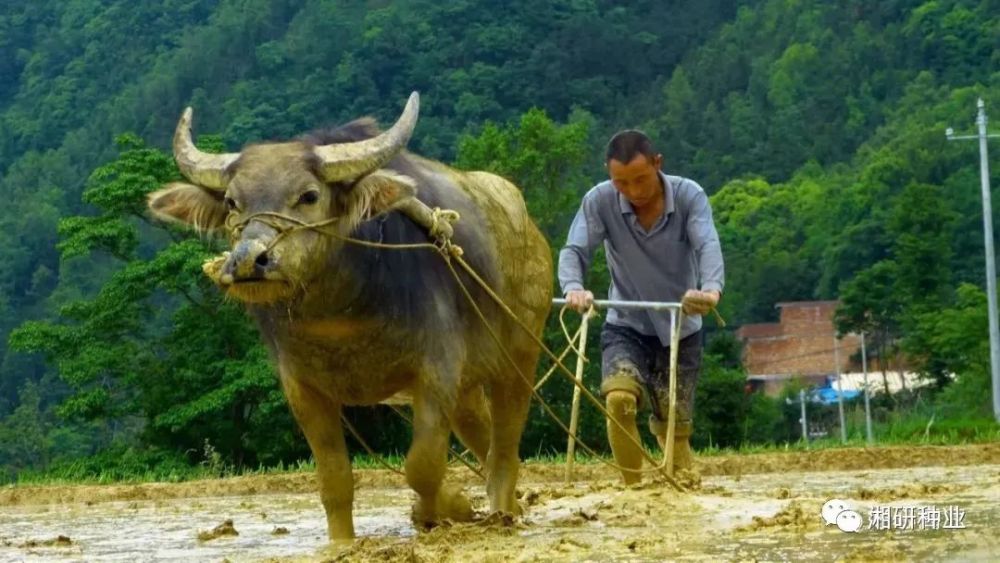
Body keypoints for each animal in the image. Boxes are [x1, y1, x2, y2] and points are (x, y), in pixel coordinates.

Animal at [146, 93, 556, 540]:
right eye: (232, 203)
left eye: (308, 196)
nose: (249, 261)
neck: (339, 314)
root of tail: (530, 231)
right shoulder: (304, 390)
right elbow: (334, 481)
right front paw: (344, 541)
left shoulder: (437, 373)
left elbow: (422, 466)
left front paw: (445, 508)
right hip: (468, 386)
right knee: (484, 439)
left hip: (519, 357)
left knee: (505, 448)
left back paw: (502, 511)